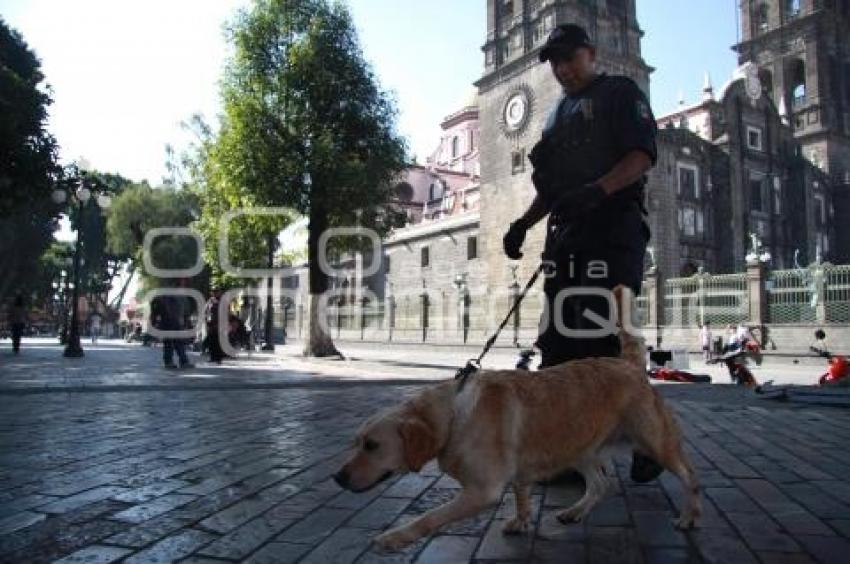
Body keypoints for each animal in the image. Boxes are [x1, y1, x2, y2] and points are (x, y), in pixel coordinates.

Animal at [334, 328, 700, 548]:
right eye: (356, 442)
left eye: (372, 445)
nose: (337, 478)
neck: (454, 414)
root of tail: (630, 365)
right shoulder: (519, 470)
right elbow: (521, 493)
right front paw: (522, 519)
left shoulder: (481, 491)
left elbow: (430, 517)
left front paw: (395, 537)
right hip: (579, 445)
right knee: (600, 484)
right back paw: (574, 512)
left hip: (655, 440)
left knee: (689, 476)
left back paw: (689, 516)